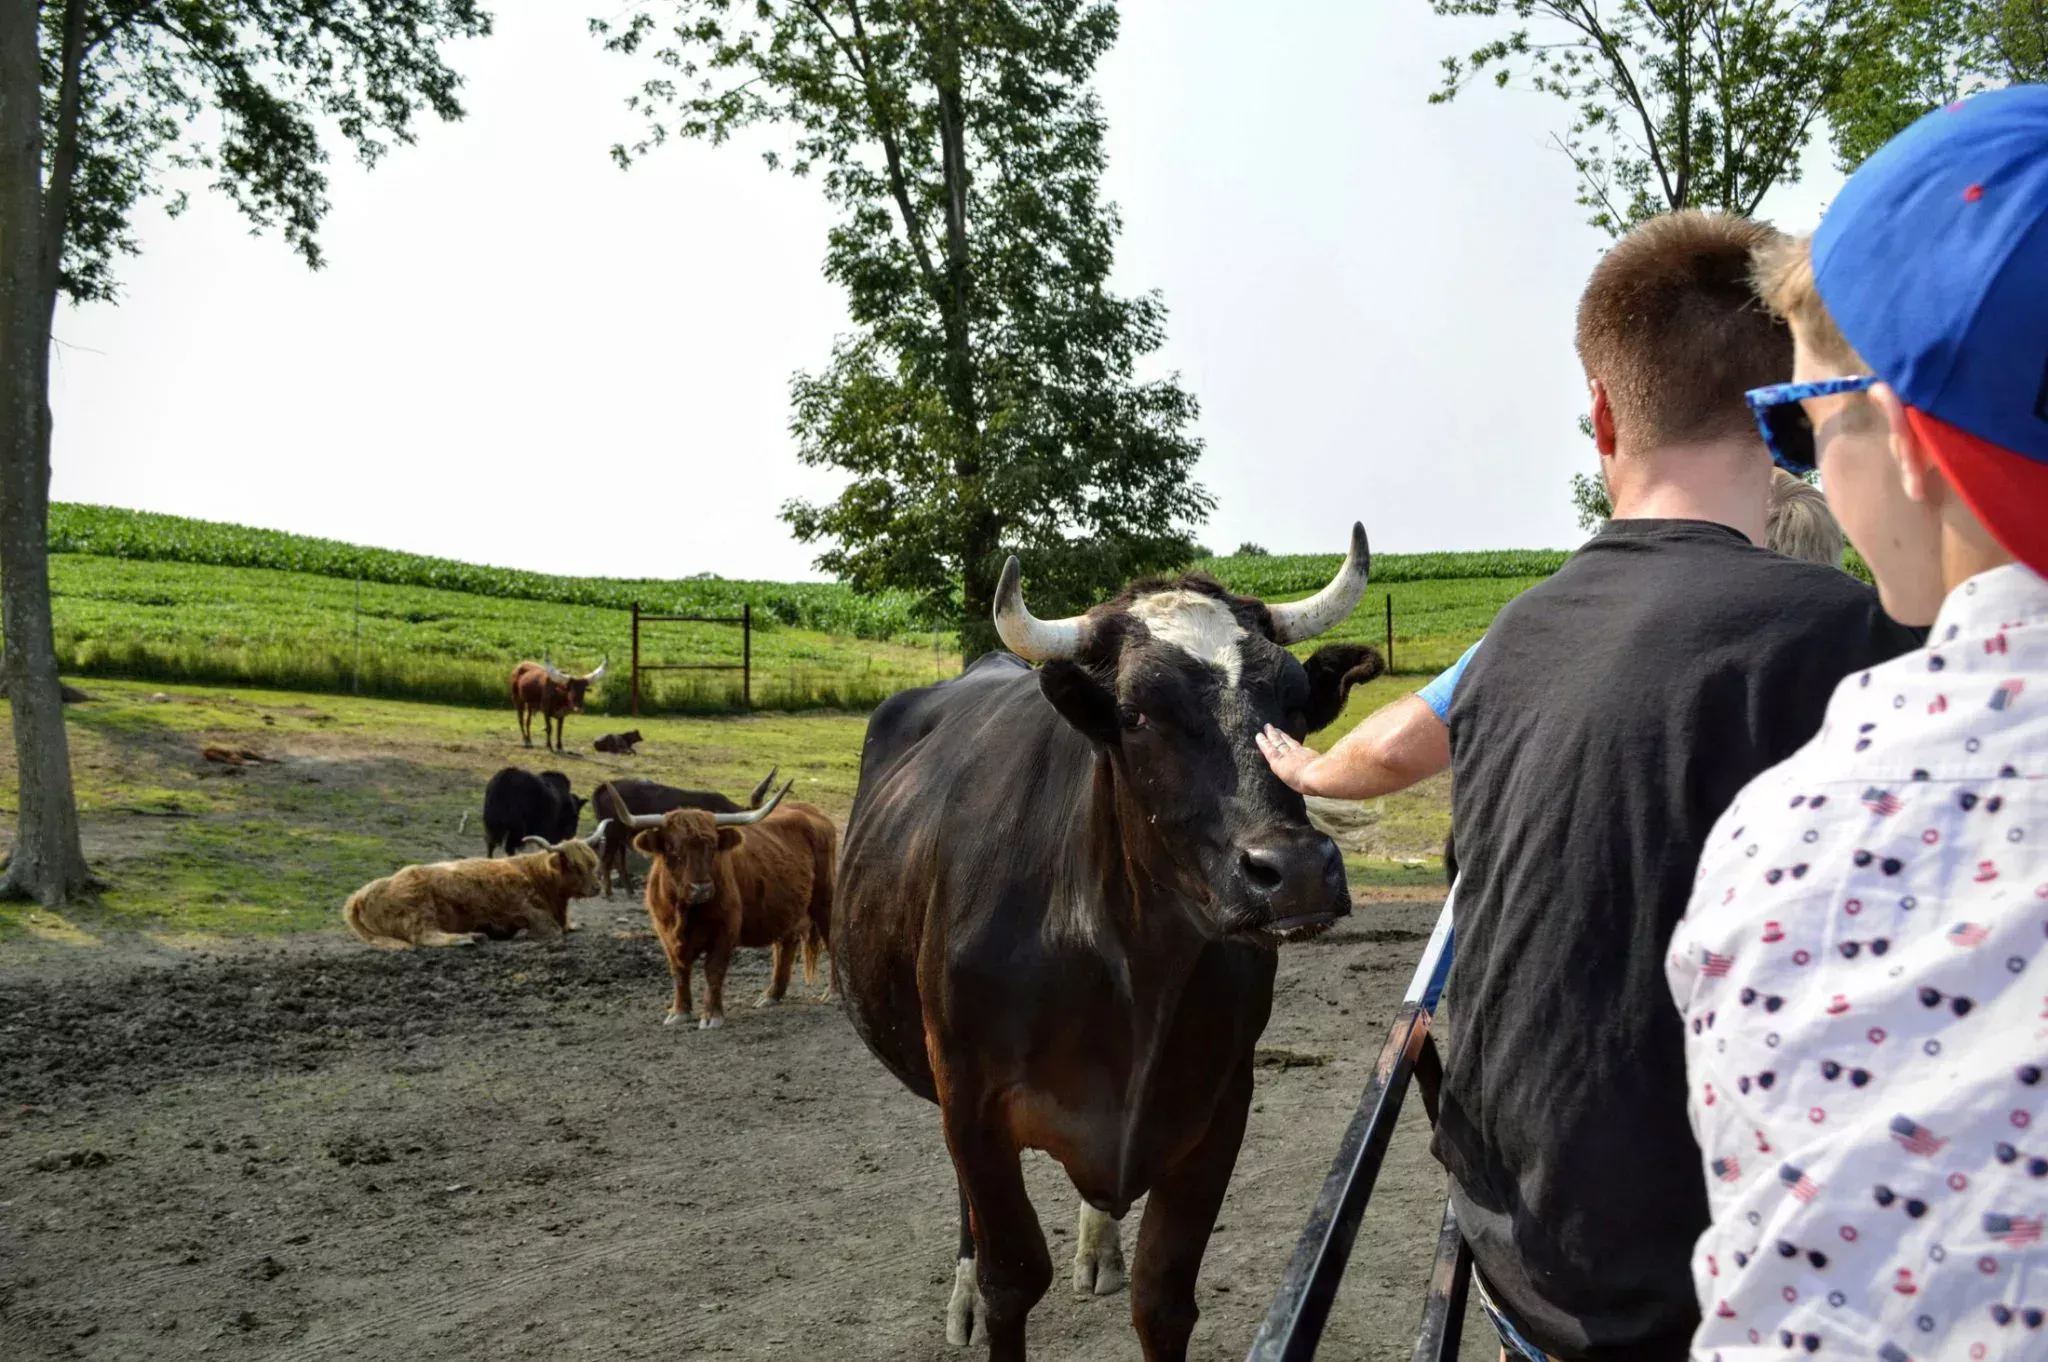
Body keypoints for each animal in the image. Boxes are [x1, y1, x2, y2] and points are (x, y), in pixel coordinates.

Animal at [342, 819, 614, 946]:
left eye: (592, 863)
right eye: (574, 866)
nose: (596, 887)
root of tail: (361, 894)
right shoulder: (527, 909)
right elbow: (552, 929)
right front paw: (520, 934)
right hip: (419, 909)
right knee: (424, 935)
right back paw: (471, 937)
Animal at [598, 770, 786, 897]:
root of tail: (604, 787)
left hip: (620, 837)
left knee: (619, 861)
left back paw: (628, 890)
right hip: (612, 834)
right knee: (607, 859)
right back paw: (608, 892)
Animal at [602, 782, 835, 1024]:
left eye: (713, 847)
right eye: (672, 848)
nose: (701, 888)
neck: (685, 913)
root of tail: (811, 810)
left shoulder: (725, 929)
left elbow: (714, 970)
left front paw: (711, 1015)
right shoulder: (665, 933)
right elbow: (679, 971)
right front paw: (679, 1012)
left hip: (825, 900)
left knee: (831, 938)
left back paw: (832, 992)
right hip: (786, 907)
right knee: (785, 946)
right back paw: (771, 995)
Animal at [835, 524, 1392, 1359]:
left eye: (1295, 703)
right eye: (1136, 714)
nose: (1294, 871)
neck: (1128, 964)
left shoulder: (1219, 1103)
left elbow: (1162, 1299)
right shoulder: (970, 1098)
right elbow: (1011, 1278)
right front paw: (983, 1294)